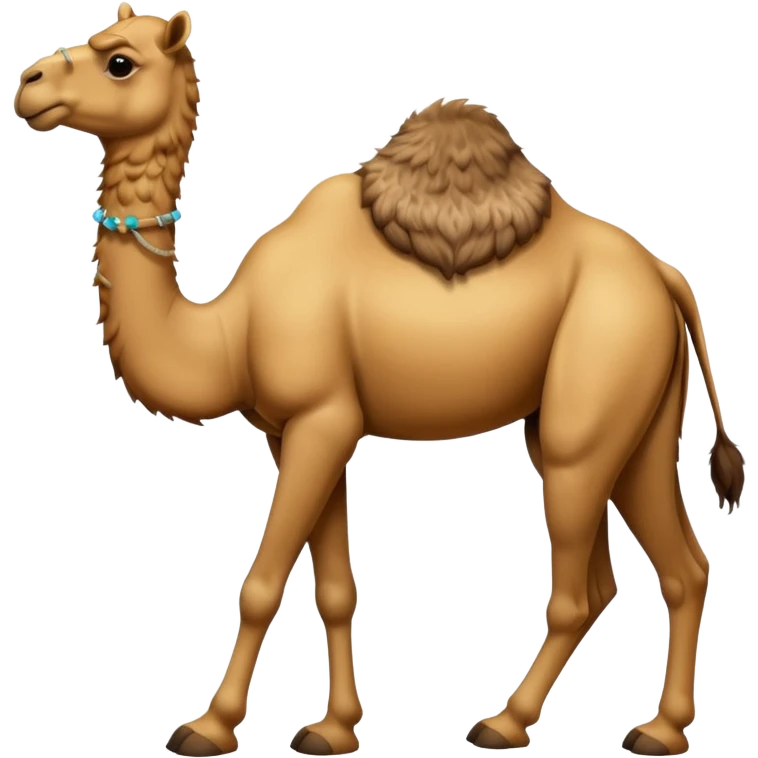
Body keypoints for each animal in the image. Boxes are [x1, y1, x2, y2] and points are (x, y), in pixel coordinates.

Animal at [13, 5, 747, 756]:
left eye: (119, 62)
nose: (28, 85)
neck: (228, 328)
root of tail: (665, 276)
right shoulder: (303, 430)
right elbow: (335, 589)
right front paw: (333, 729)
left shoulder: (321, 418)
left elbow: (260, 583)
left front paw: (209, 728)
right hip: (634, 417)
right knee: (676, 566)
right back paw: (659, 728)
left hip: (593, 398)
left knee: (580, 585)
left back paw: (507, 723)